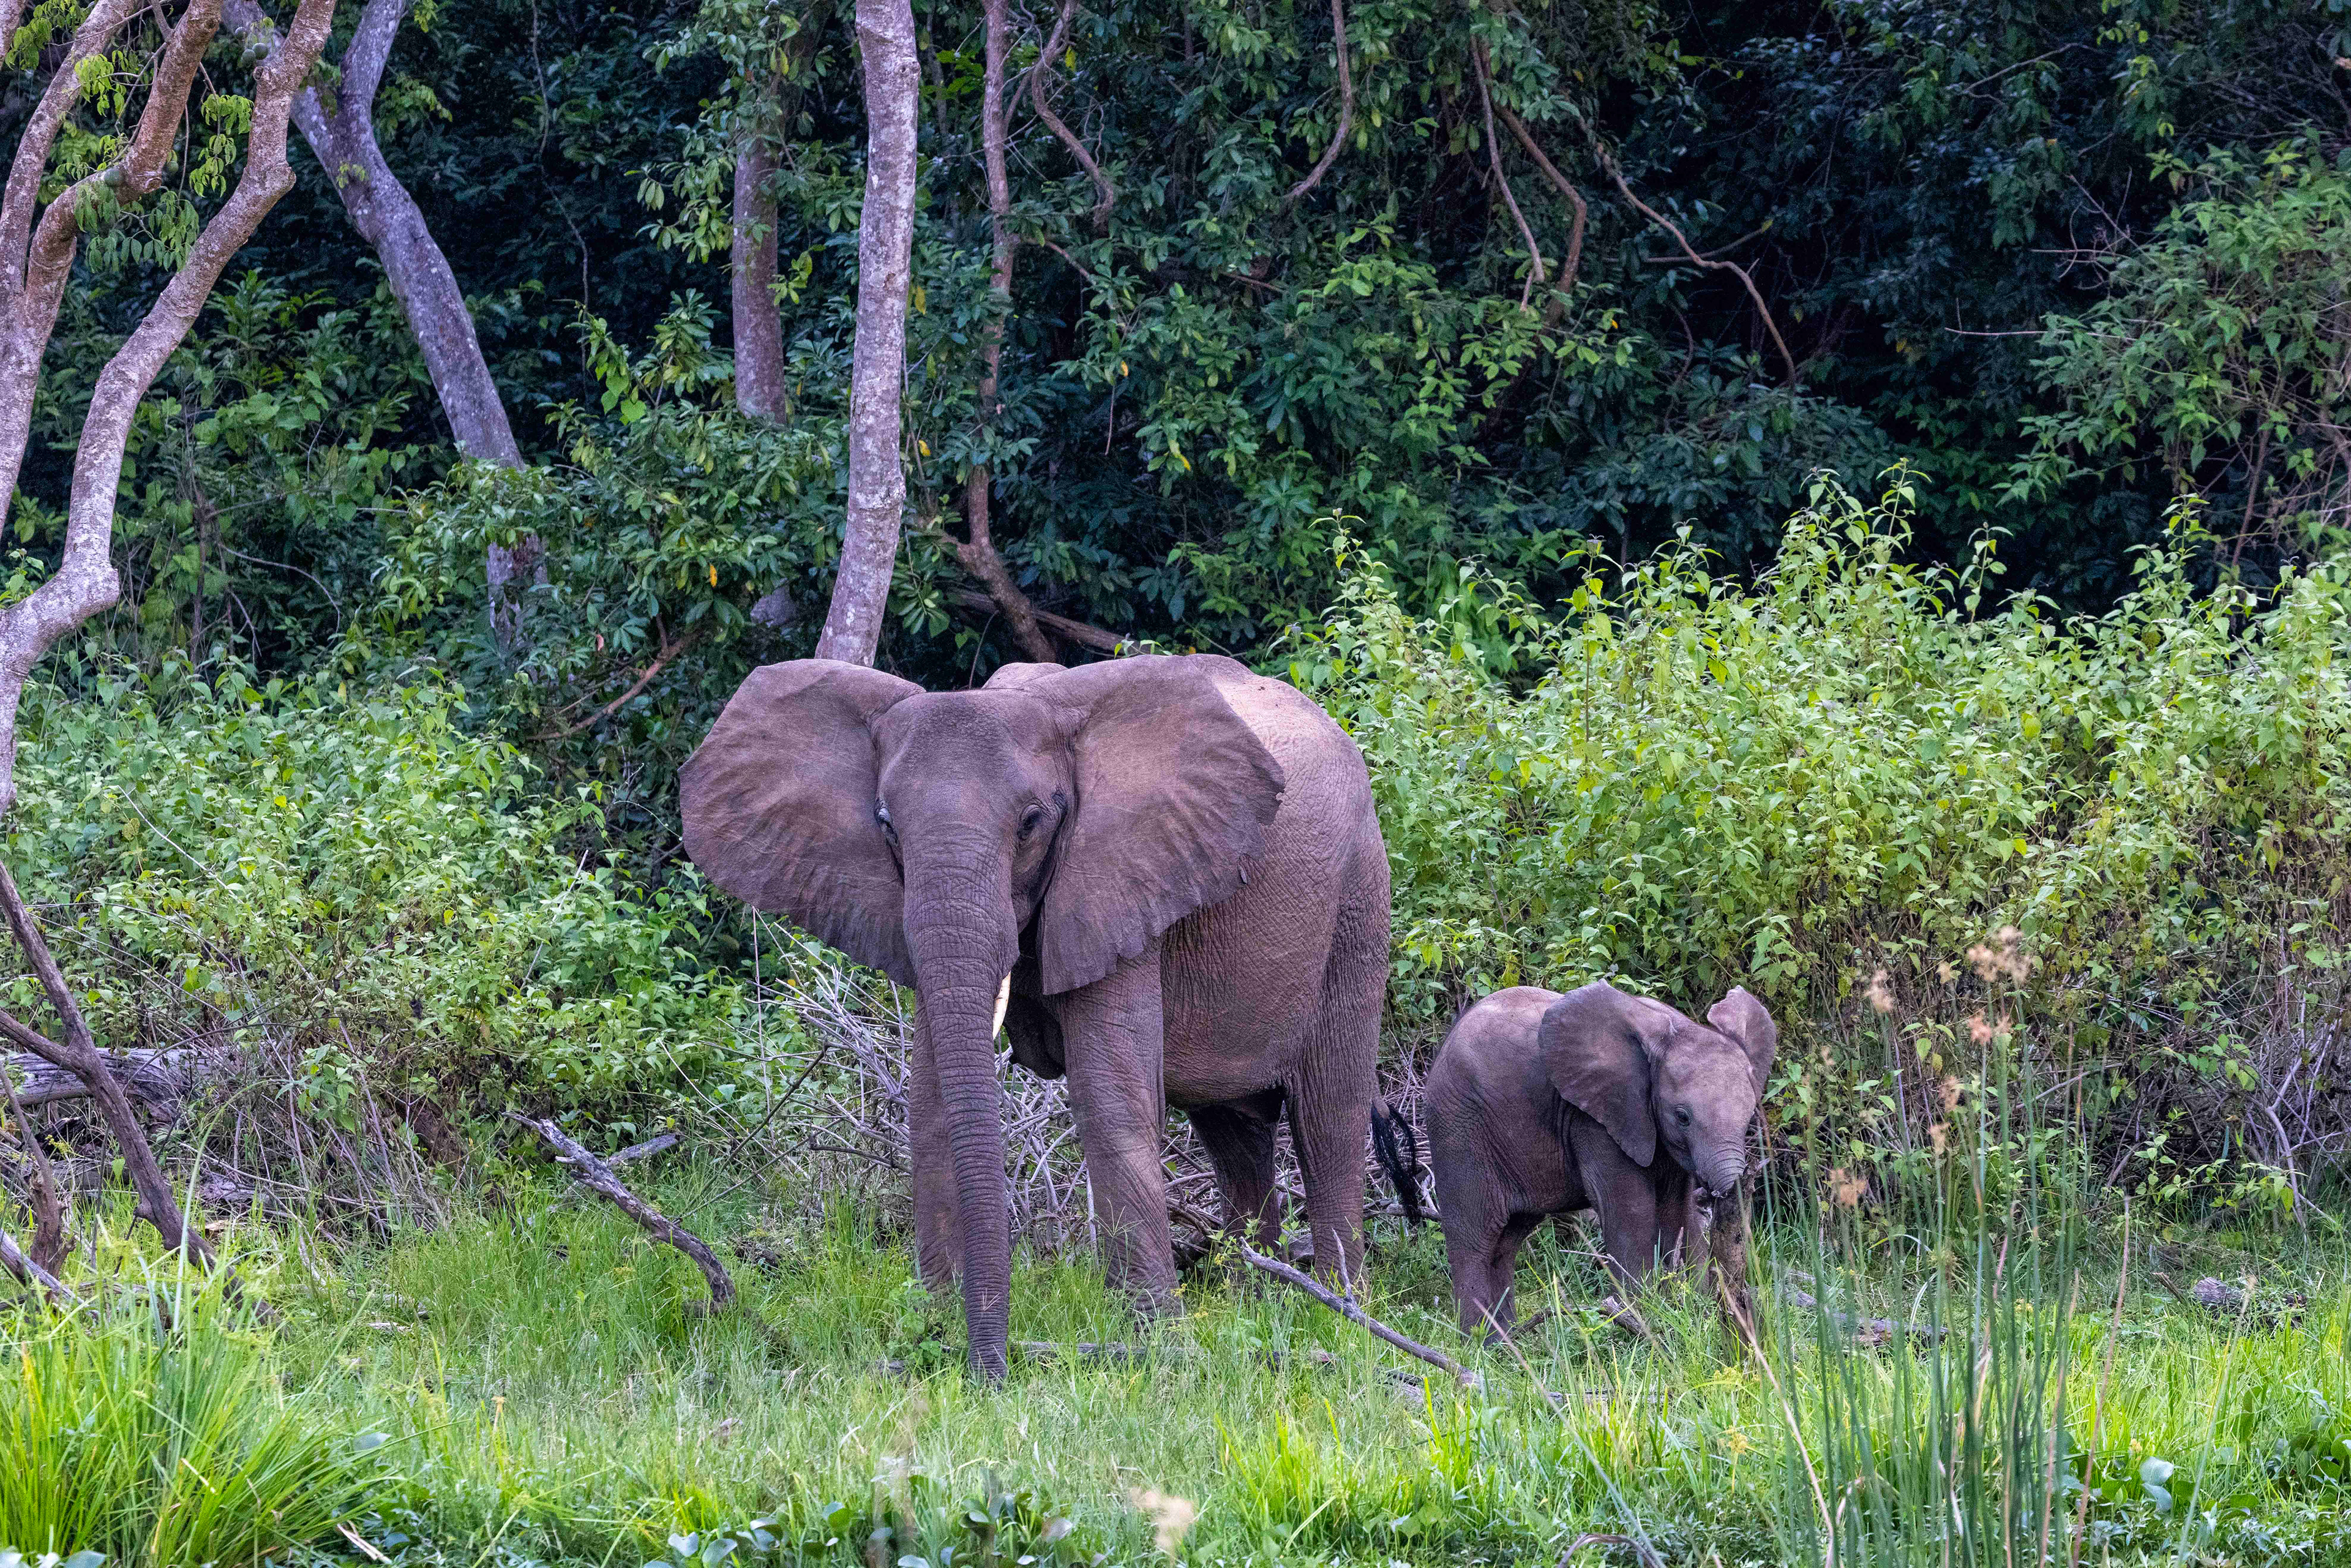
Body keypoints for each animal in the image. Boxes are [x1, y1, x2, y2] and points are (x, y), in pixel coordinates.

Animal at [680, 653, 1390, 1378]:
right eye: (885, 824)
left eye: (1030, 822)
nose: (989, 1373)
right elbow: (932, 1102)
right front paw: (935, 1320)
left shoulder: (1121, 877)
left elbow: (1110, 1099)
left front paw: (1154, 1345)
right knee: (1235, 1130)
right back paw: (1253, 1304)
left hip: (1359, 893)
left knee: (1328, 1113)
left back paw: (1341, 1316)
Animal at [1411, 980, 1775, 1336]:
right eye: (1682, 1116)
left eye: (1749, 1116)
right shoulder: (1597, 1117)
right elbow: (1629, 1207)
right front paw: (1643, 1320)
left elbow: (1681, 1208)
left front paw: (1691, 1309)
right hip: (1458, 1127)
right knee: (1475, 1237)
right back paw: (1479, 1343)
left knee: (1507, 1241)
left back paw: (1508, 1339)